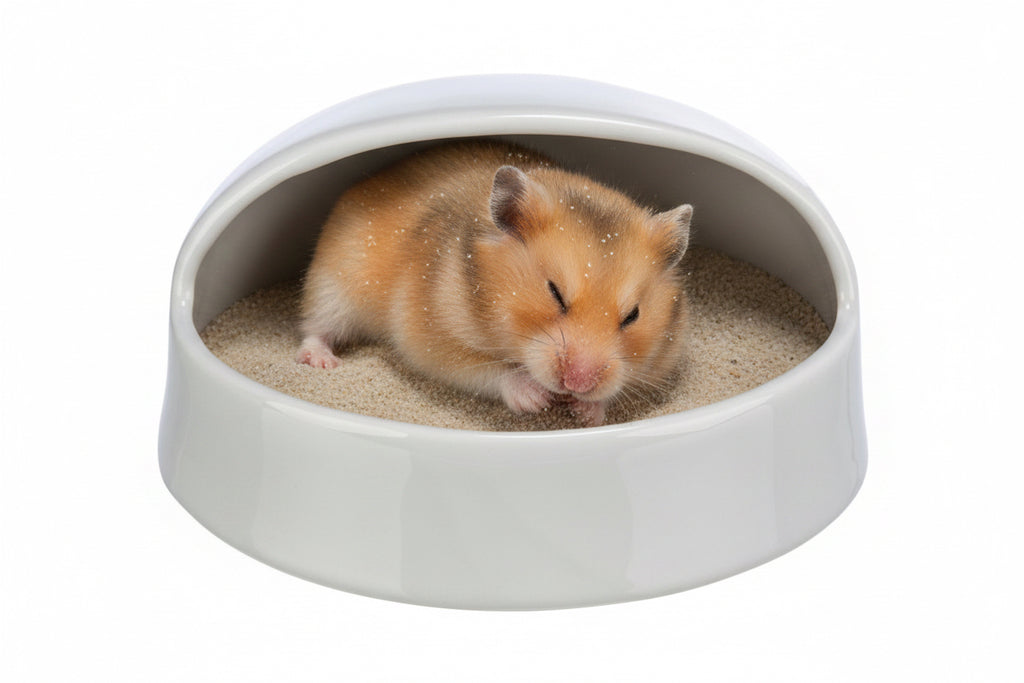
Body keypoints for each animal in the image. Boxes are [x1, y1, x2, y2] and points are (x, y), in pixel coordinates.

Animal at [296, 141, 693, 427]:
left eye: (633, 315)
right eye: (555, 293)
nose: (577, 384)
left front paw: (584, 411)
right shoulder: (430, 339)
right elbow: (488, 370)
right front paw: (537, 399)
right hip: (332, 288)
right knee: (315, 327)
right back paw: (322, 363)